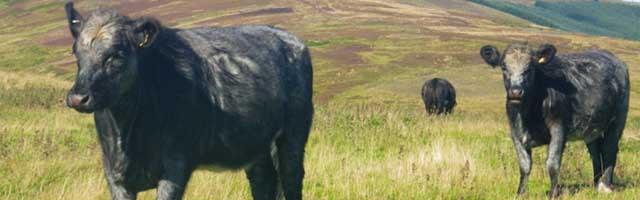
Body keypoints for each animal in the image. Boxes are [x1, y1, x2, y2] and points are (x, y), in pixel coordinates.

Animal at [63, 1, 314, 200]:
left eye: (116, 55)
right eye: (76, 51)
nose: (77, 98)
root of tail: (290, 39)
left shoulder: (175, 168)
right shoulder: (115, 176)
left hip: (294, 135)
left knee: (291, 178)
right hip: (256, 146)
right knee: (264, 181)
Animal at [482, 42, 628, 197]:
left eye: (530, 68)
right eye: (504, 67)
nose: (515, 92)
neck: (528, 115)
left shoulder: (558, 129)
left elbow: (552, 164)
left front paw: (553, 194)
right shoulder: (515, 132)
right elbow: (524, 165)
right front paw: (520, 193)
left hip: (618, 120)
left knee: (609, 149)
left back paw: (604, 186)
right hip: (591, 128)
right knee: (595, 152)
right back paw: (595, 183)